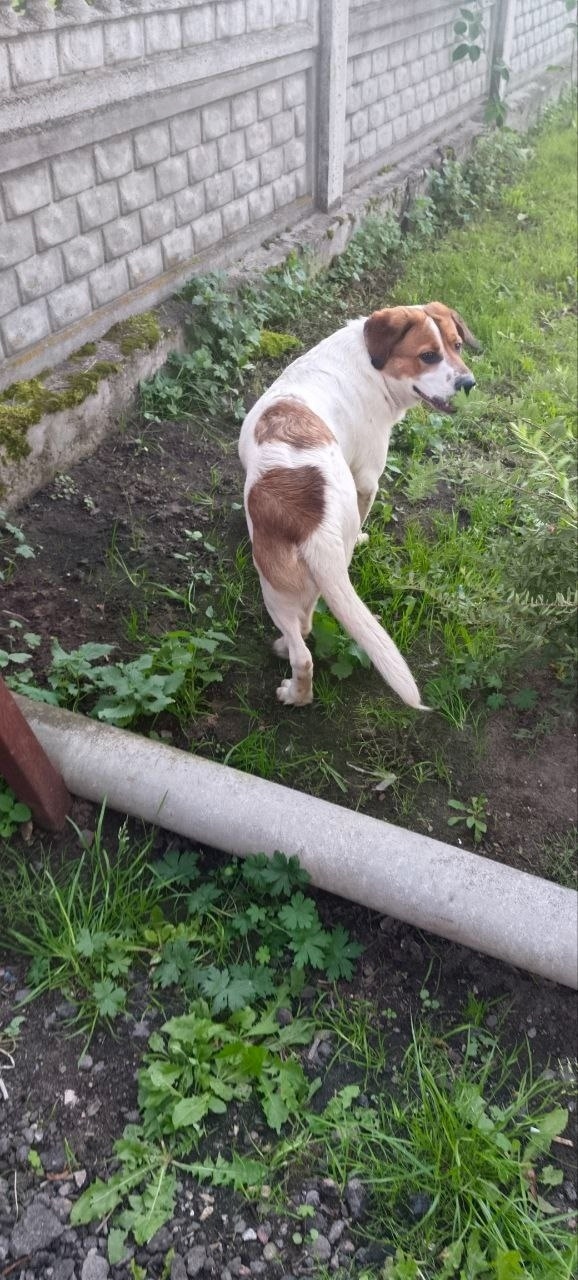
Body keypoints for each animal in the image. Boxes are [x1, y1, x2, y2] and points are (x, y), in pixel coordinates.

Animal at [238, 301, 479, 709]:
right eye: (428, 356)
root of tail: (305, 518)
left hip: (284, 586)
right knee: (304, 652)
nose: (468, 384)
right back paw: (295, 692)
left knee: (303, 632)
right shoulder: (367, 480)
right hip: (277, 589)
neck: (369, 363)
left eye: (457, 345)